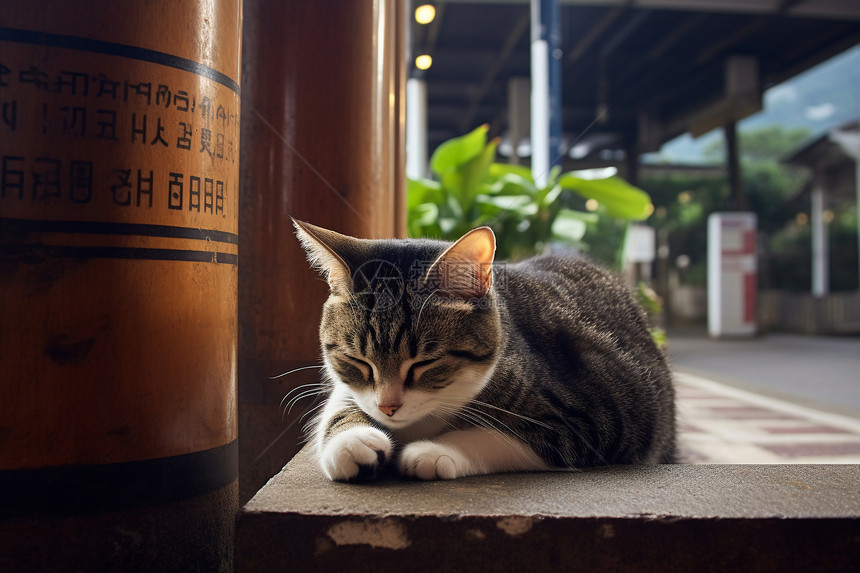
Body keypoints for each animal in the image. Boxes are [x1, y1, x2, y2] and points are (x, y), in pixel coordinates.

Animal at [292, 217, 676, 480]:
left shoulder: (592, 419)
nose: (388, 407)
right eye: (357, 361)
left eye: (424, 363)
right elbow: (341, 403)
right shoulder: (349, 387)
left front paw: (434, 451)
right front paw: (351, 441)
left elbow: (501, 435)